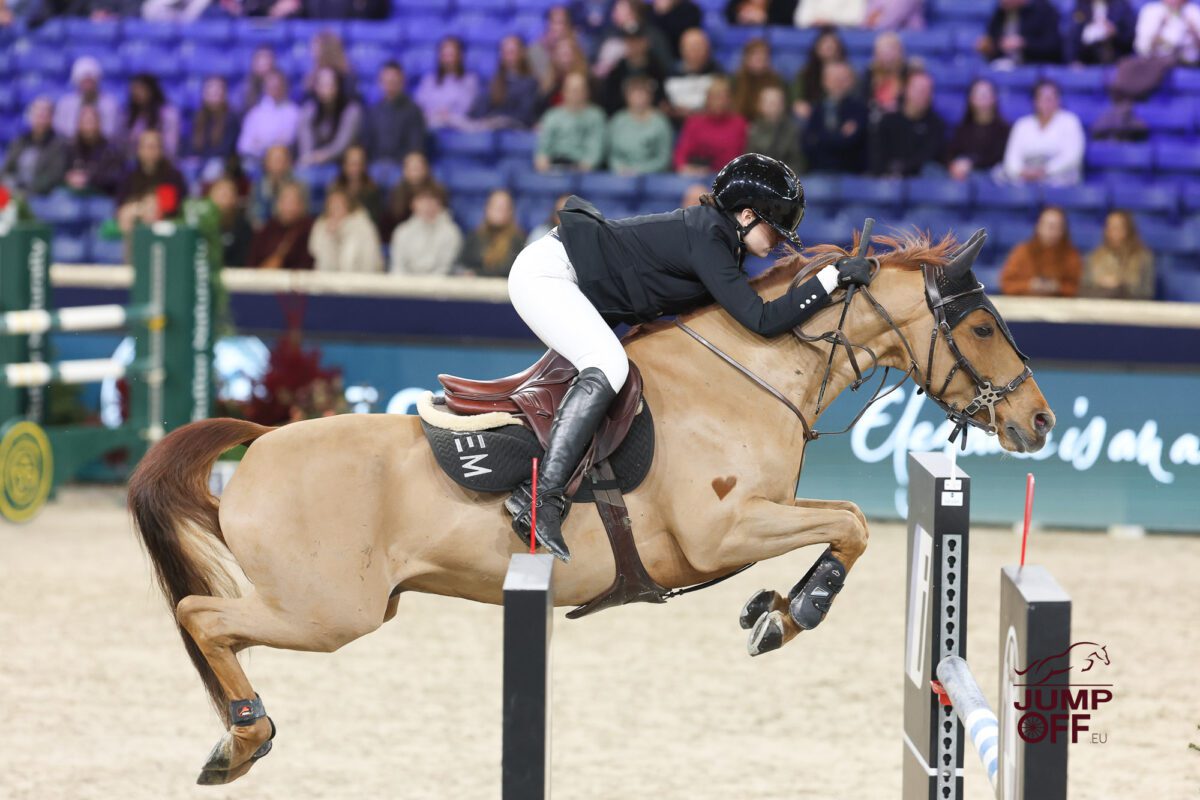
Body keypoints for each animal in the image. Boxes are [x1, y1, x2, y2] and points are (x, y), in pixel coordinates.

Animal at [128, 228, 1056, 785]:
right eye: (981, 328)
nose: (1040, 420)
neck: (747, 375)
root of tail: (262, 441)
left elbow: (844, 526)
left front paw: (775, 607)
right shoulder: (721, 533)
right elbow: (852, 524)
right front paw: (792, 613)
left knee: (201, 619)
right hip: (328, 612)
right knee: (202, 615)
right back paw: (243, 737)